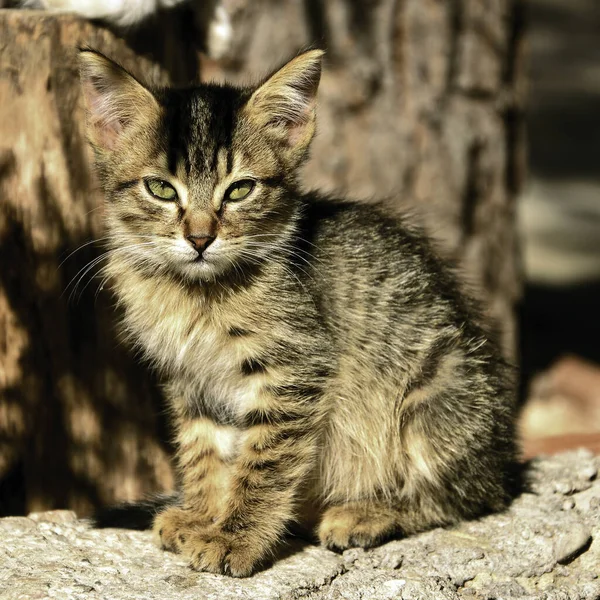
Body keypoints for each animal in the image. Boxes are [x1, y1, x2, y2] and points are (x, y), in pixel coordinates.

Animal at [79, 48, 520, 576]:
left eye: (240, 190)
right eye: (161, 190)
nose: (200, 238)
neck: (195, 292)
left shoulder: (295, 370)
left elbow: (263, 462)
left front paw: (234, 536)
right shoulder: (192, 381)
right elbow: (204, 451)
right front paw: (203, 514)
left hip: (440, 387)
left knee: (466, 496)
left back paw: (365, 513)